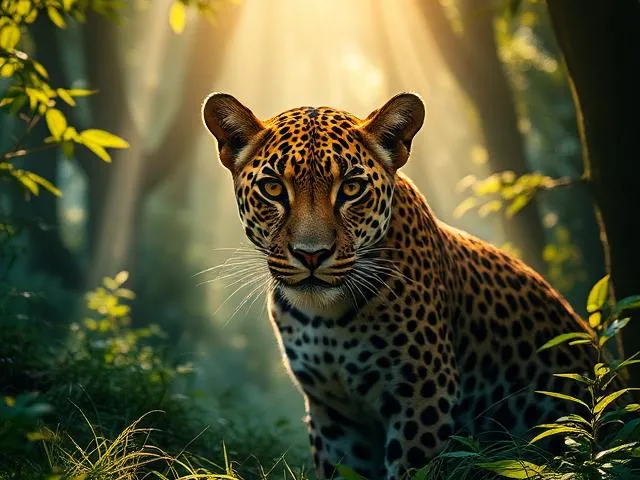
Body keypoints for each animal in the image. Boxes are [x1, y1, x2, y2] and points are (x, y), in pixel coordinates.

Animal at [201, 92, 594, 480]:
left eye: (352, 188)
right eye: (272, 188)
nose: (311, 255)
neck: (325, 317)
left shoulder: (423, 397)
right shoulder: (334, 413)